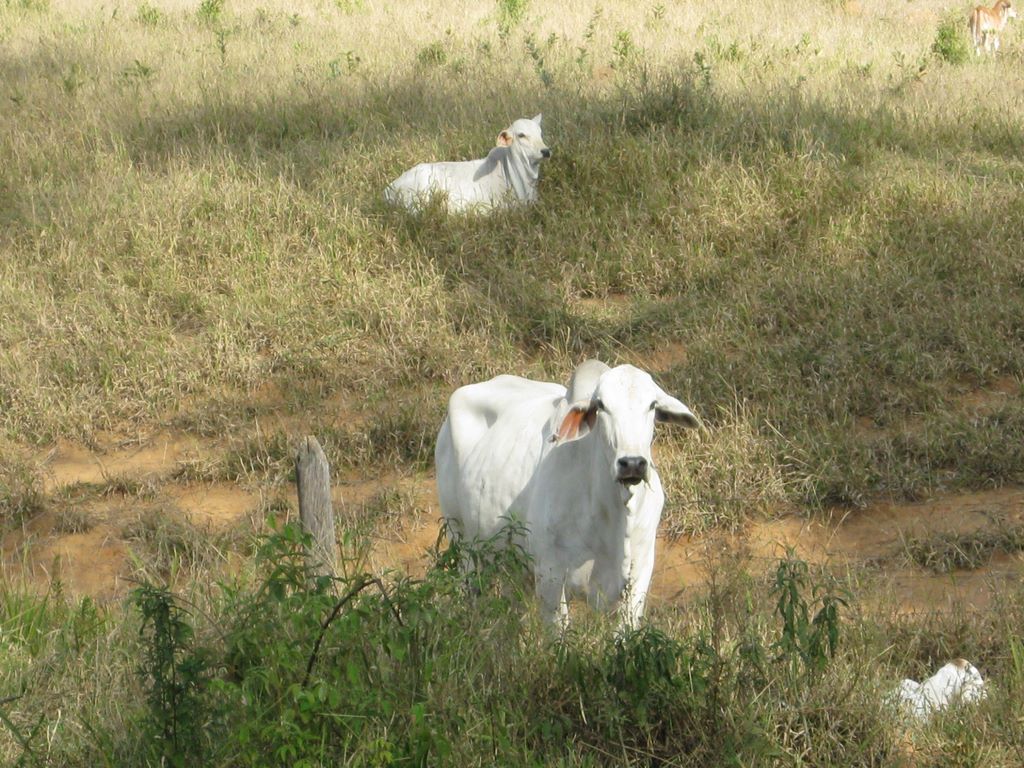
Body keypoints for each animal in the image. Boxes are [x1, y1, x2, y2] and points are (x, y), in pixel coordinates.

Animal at [435, 360, 701, 630]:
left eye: (653, 405)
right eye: (601, 405)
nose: (633, 463)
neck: (613, 515)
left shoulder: (639, 572)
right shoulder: (549, 575)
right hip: (462, 540)